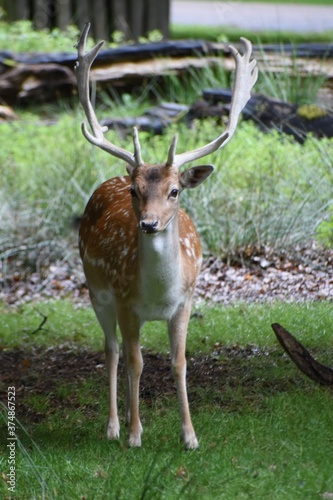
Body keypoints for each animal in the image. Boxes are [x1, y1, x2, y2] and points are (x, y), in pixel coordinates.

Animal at [75, 23, 256, 450]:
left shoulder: (186, 301)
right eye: (134, 191)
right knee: (112, 351)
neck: (158, 293)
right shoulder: (125, 301)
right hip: (96, 291)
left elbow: (179, 362)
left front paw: (189, 436)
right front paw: (135, 435)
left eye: (175, 191)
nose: (149, 223)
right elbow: (136, 361)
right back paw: (114, 426)